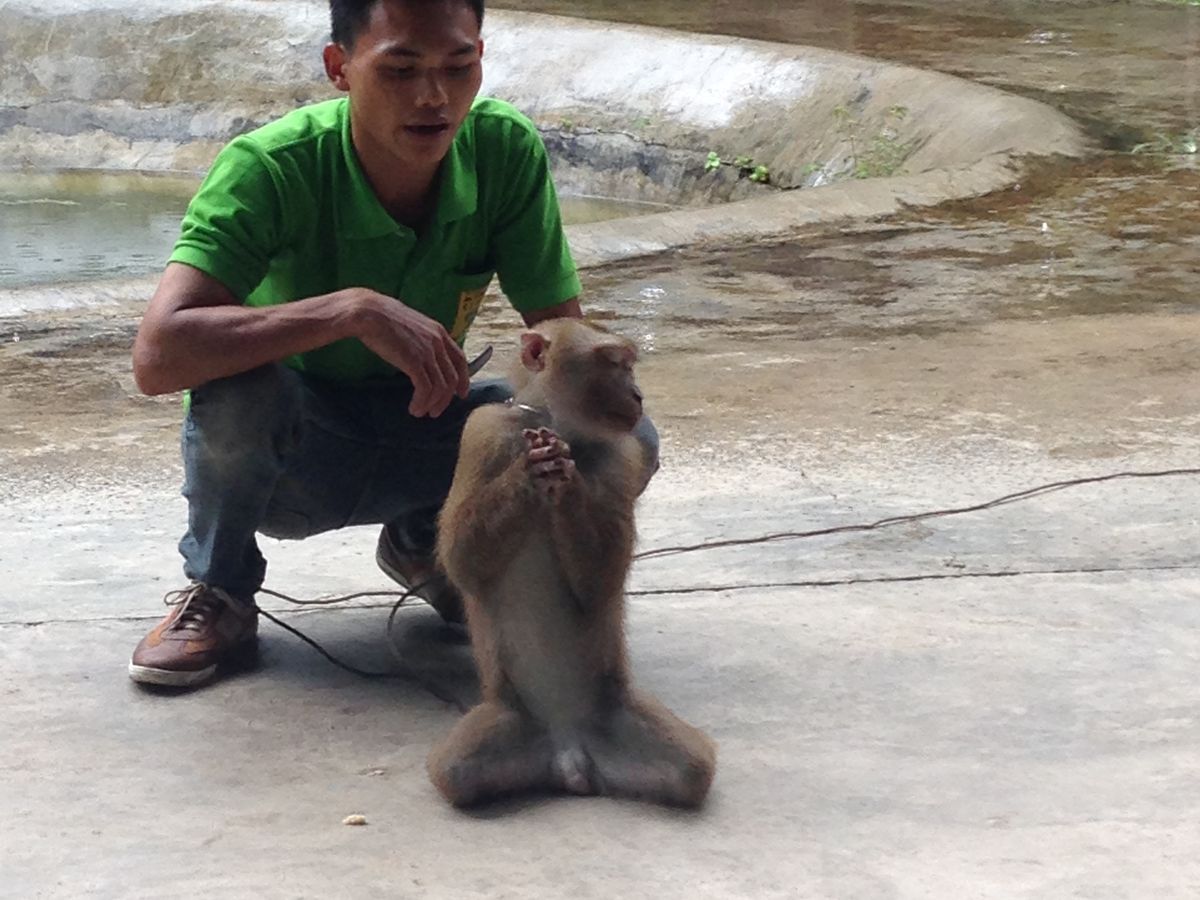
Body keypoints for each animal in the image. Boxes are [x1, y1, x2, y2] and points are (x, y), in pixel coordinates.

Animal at [427, 318, 716, 808]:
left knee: (694, 770)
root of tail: (567, 754)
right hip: (514, 718)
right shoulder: (483, 431)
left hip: (613, 714)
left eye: (627, 365)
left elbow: (600, 583)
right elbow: (461, 560)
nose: (637, 394)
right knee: (454, 775)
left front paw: (568, 480)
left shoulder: (620, 456)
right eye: (612, 363)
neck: (559, 424)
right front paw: (528, 470)